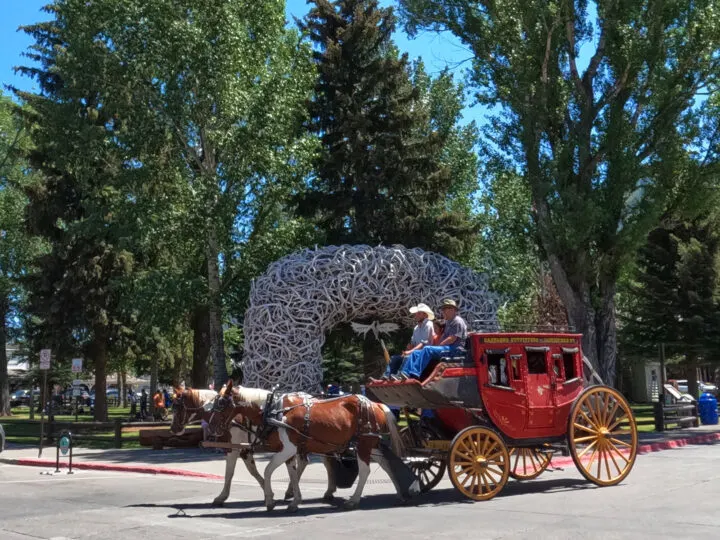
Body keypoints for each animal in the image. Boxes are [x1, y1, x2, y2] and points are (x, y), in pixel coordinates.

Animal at [208, 380, 410, 510]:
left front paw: (270, 500)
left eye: (222, 402)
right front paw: (294, 500)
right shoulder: (288, 451)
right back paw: (400, 494)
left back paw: (354, 500)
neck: (273, 410)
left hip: (363, 444)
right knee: (387, 465)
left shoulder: (287, 448)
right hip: (371, 444)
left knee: (365, 470)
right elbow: (292, 473)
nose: (211, 426)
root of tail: (376, 404)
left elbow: (267, 470)